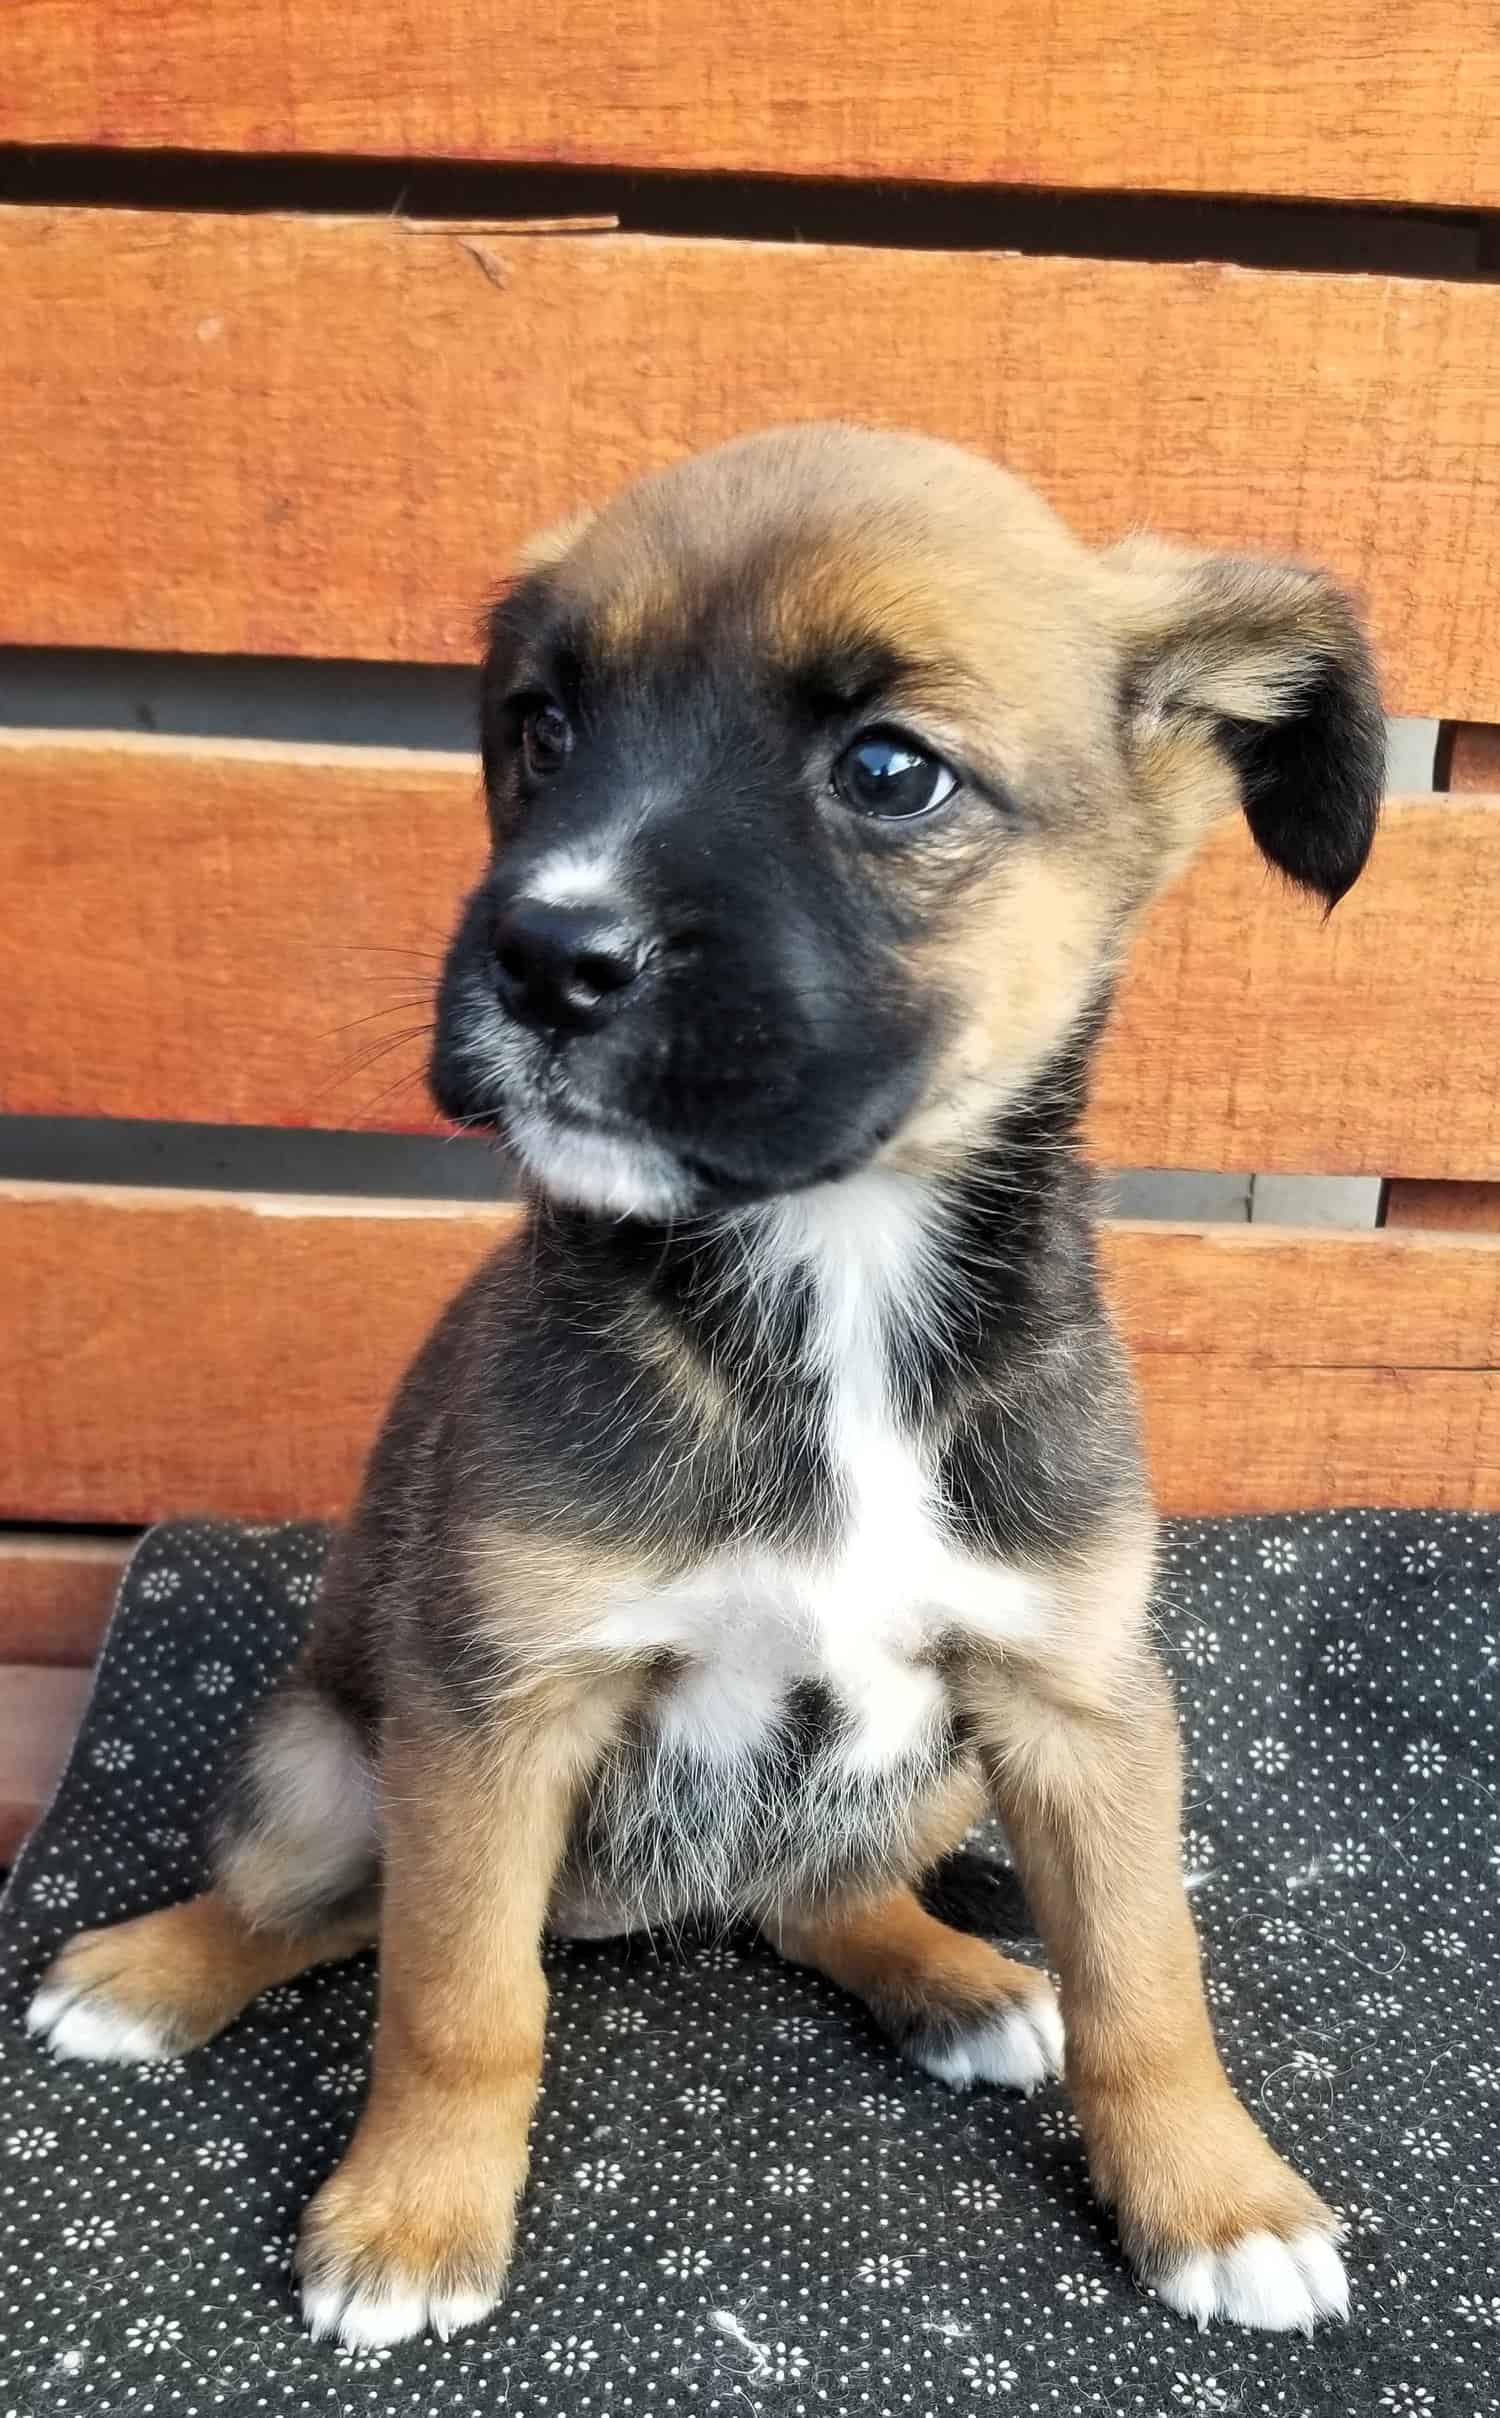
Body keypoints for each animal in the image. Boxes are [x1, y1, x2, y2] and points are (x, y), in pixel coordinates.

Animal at [26, 425, 1383, 2350]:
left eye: (891, 770)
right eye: (542, 728)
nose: (542, 955)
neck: (829, 1285)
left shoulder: (1077, 1702)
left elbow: (1145, 1975)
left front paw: (1219, 2195)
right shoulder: (494, 1719)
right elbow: (457, 1996)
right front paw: (414, 2217)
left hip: (938, 1775)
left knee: (821, 1894)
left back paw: (954, 1974)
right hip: (322, 1766)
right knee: (334, 1909)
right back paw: (151, 1969)